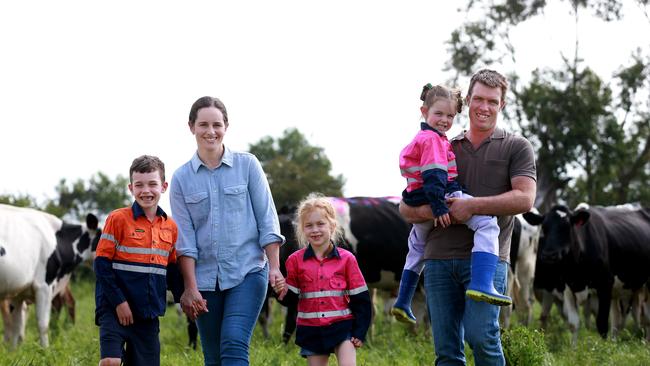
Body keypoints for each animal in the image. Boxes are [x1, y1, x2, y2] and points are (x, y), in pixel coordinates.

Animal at [0, 204, 98, 348]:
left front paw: (13, 351)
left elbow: (16, 326)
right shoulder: (43, 285)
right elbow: (42, 324)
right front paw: (45, 350)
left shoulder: (18, 292)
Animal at [528, 204, 648, 338]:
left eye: (567, 227)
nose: (549, 255)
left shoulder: (605, 285)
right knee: (618, 318)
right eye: (544, 228)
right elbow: (573, 324)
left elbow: (602, 324)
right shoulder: (568, 288)